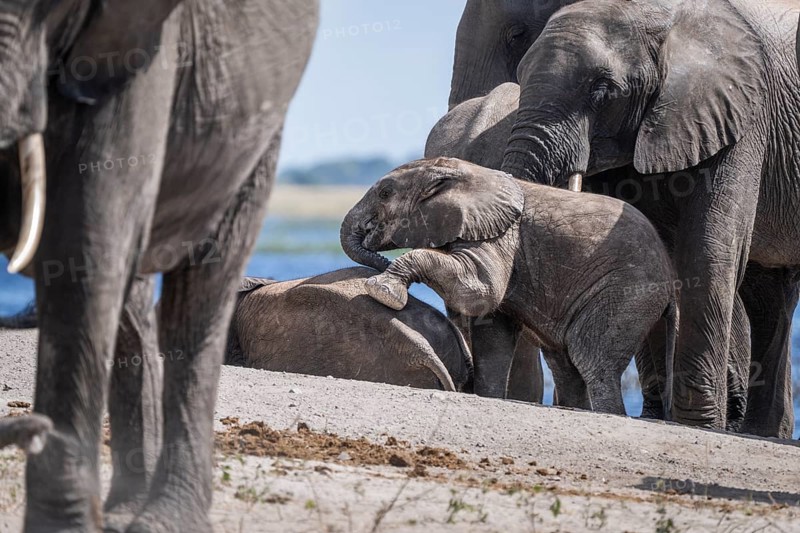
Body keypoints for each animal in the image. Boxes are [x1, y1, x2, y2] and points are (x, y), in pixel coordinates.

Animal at [341, 157, 678, 415]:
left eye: (385, 193)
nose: (378, 261)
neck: (458, 169)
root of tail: (672, 282)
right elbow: (493, 330)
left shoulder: (501, 235)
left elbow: (482, 291)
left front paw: (383, 290)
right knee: (565, 364)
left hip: (627, 292)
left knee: (592, 360)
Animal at [497, 0, 800, 435]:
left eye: (602, 91)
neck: (656, 16)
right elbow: (654, 247)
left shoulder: (742, 116)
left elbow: (708, 248)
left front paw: (698, 424)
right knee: (769, 293)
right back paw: (761, 432)